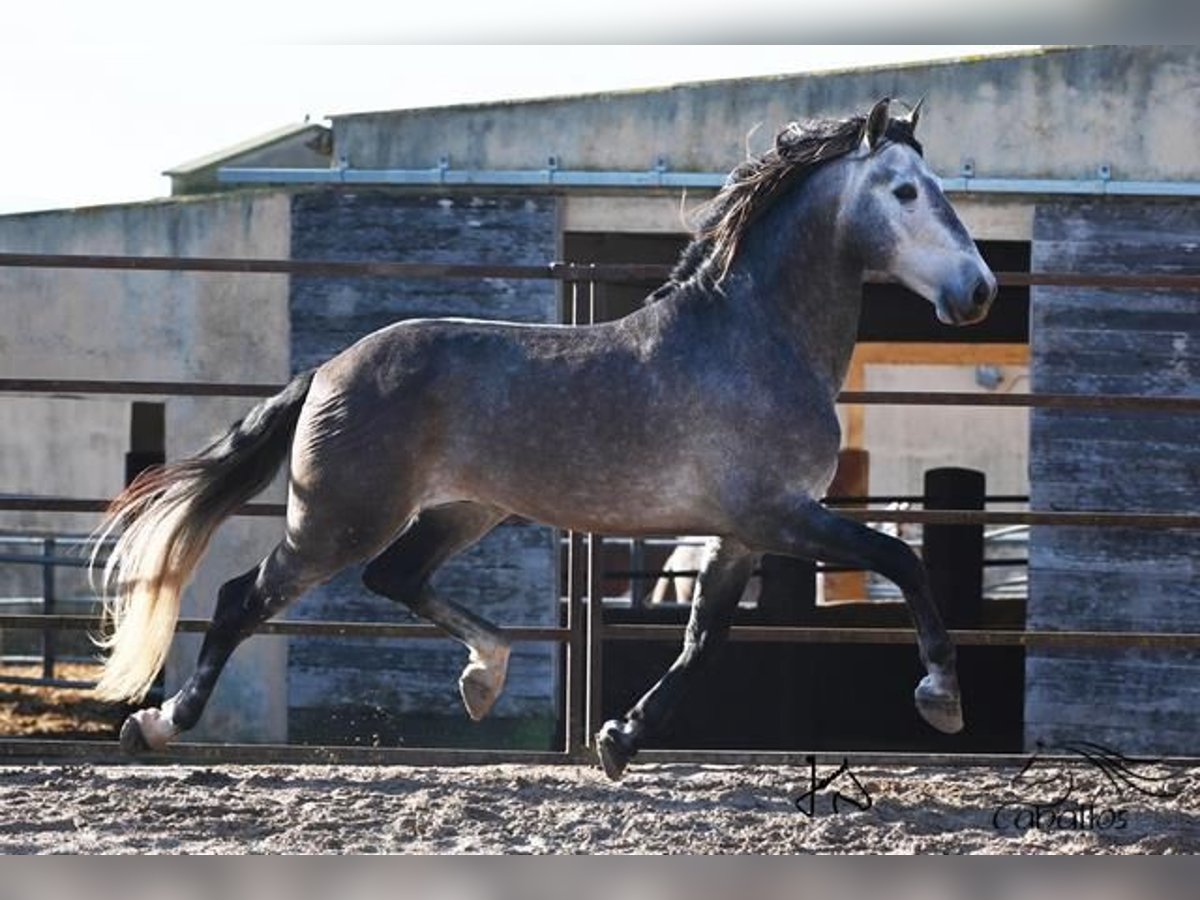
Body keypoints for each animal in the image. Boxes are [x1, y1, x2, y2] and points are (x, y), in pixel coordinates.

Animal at [91, 97, 993, 777]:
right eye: (906, 192)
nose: (978, 291)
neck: (754, 338)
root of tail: (329, 369)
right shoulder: (779, 515)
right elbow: (903, 559)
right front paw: (943, 698)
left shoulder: (741, 532)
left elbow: (703, 640)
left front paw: (617, 741)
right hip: (338, 521)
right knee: (245, 597)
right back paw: (155, 726)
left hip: (462, 511)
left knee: (393, 578)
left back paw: (484, 675)